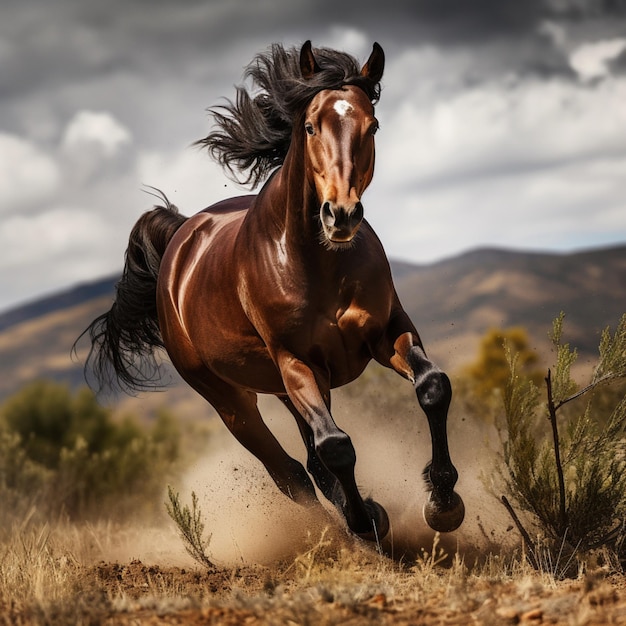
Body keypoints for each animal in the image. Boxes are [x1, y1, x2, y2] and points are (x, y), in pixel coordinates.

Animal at [81, 40, 464, 536]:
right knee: (291, 474)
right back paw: (343, 529)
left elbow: (432, 386)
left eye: (373, 125)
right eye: (310, 126)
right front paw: (365, 524)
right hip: (232, 400)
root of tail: (181, 237)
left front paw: (443, 502)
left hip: (283, 388)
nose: (341, 215)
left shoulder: (386, 331)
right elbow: (336, 445)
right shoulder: (297, 362)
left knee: (310, 462)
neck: (319, 263)